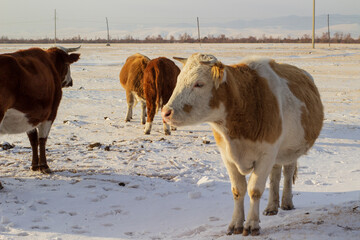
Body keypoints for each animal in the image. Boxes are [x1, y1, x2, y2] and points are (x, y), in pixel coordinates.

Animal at [0, 46, 80, 189]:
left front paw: (34, 165)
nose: (71, 81)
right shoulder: (50, 114)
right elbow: (42, 139)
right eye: (68, 65)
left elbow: (33, 140)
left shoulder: (30, 117)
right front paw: (44, 166)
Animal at [162, 53, 324, 235]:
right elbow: (238, 190)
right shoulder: (227, 156)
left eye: (199, 83)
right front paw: (236, 224)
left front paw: (252, 224)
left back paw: (286, 202)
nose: (166, 112)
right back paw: (271, 207)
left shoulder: (267, 153)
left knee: (287, 172)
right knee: (275, 174)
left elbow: (255, 190)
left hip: (290, 149)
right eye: (178, 80)